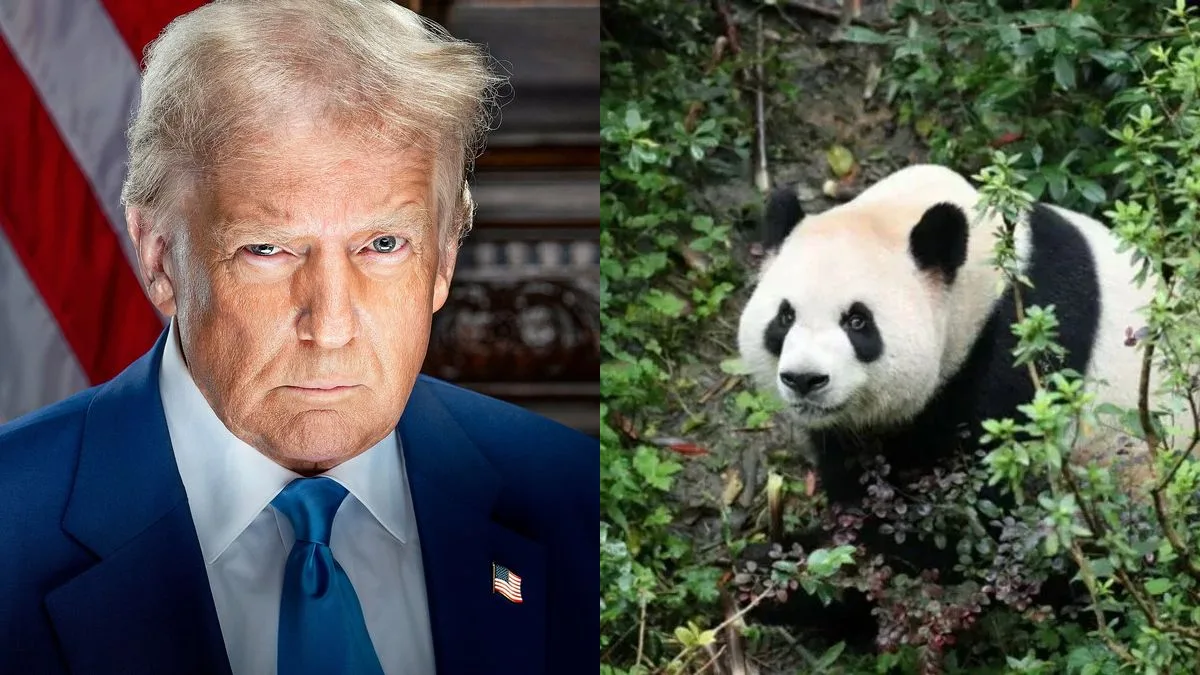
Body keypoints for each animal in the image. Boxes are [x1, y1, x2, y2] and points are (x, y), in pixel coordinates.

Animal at [735, 163, 1192, 647]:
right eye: (785, 317)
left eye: (858, 321)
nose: (804, 379)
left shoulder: (1022, 356)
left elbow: (963, 527)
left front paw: (798, 580)